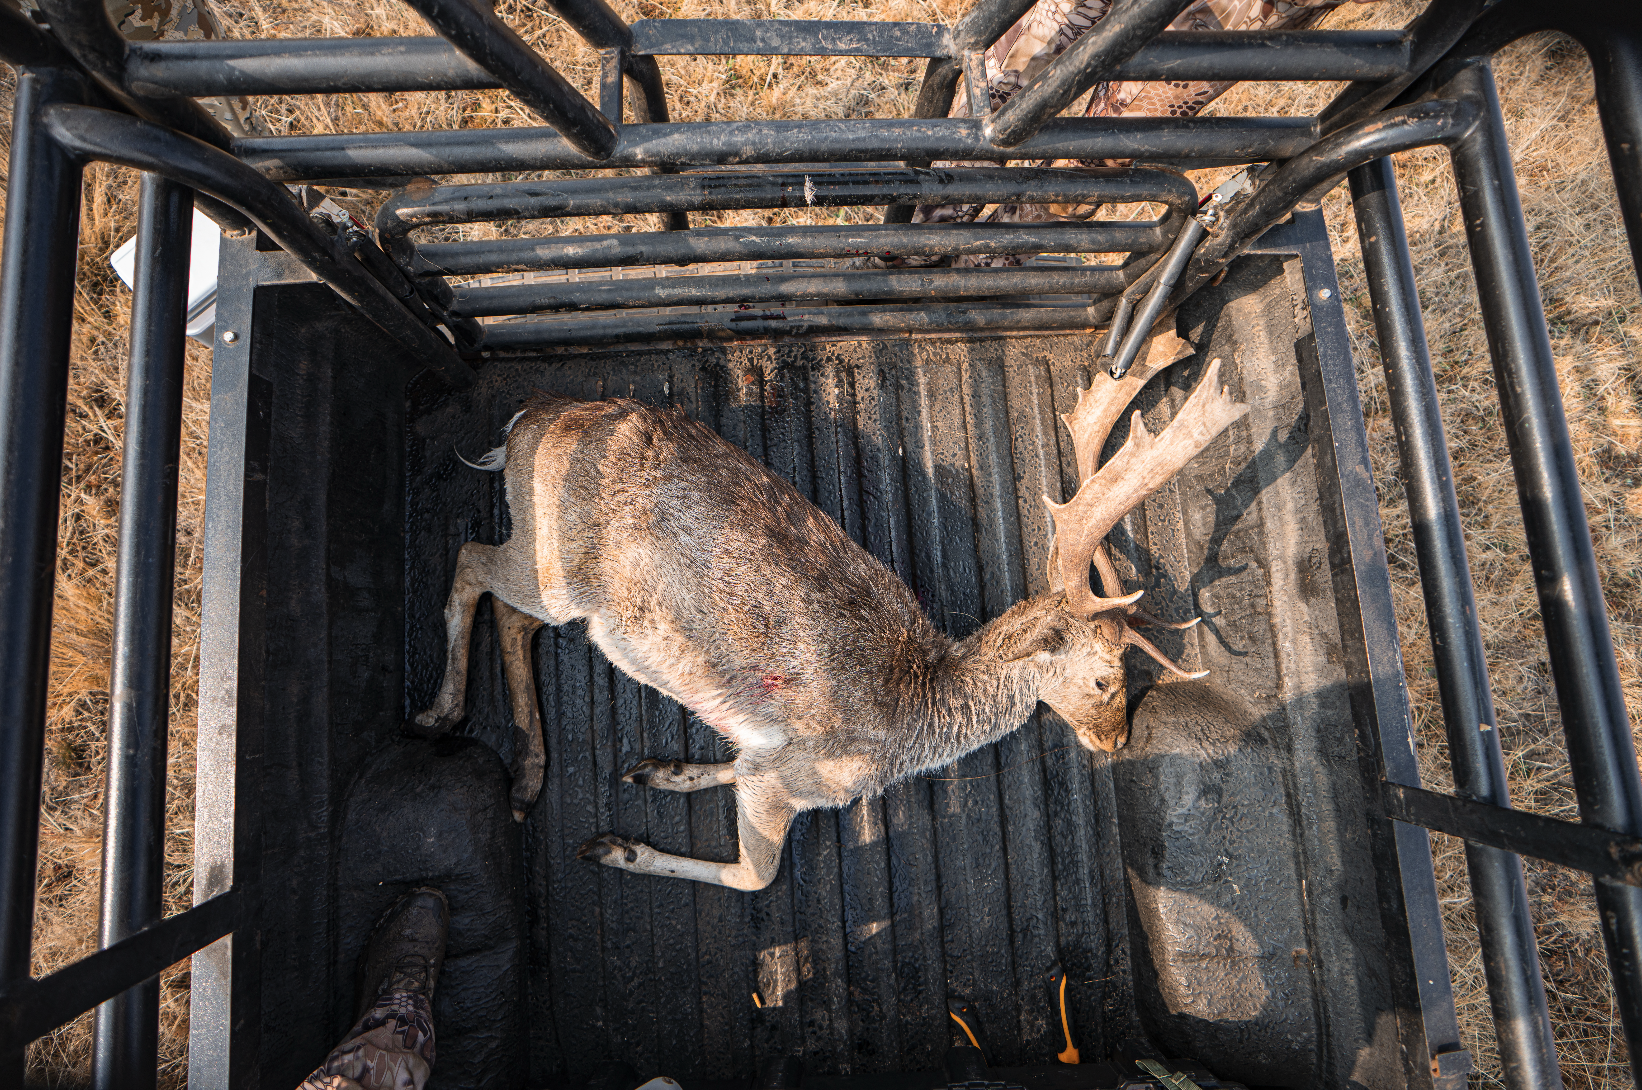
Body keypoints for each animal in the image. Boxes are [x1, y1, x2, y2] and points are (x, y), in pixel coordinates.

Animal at [410, 332, 1248, 890]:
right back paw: (440, 714)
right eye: (1106, 677)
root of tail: (529, 418)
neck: (912, 719)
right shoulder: (793, 781)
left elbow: (731, 766)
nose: (1115, 741)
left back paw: (525, 777)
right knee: (471, 561)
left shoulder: (767, 760)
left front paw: (664, 770)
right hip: (551, 566)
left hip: (557, 589)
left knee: (509, 610)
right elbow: (756, 874)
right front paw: (617, 848)